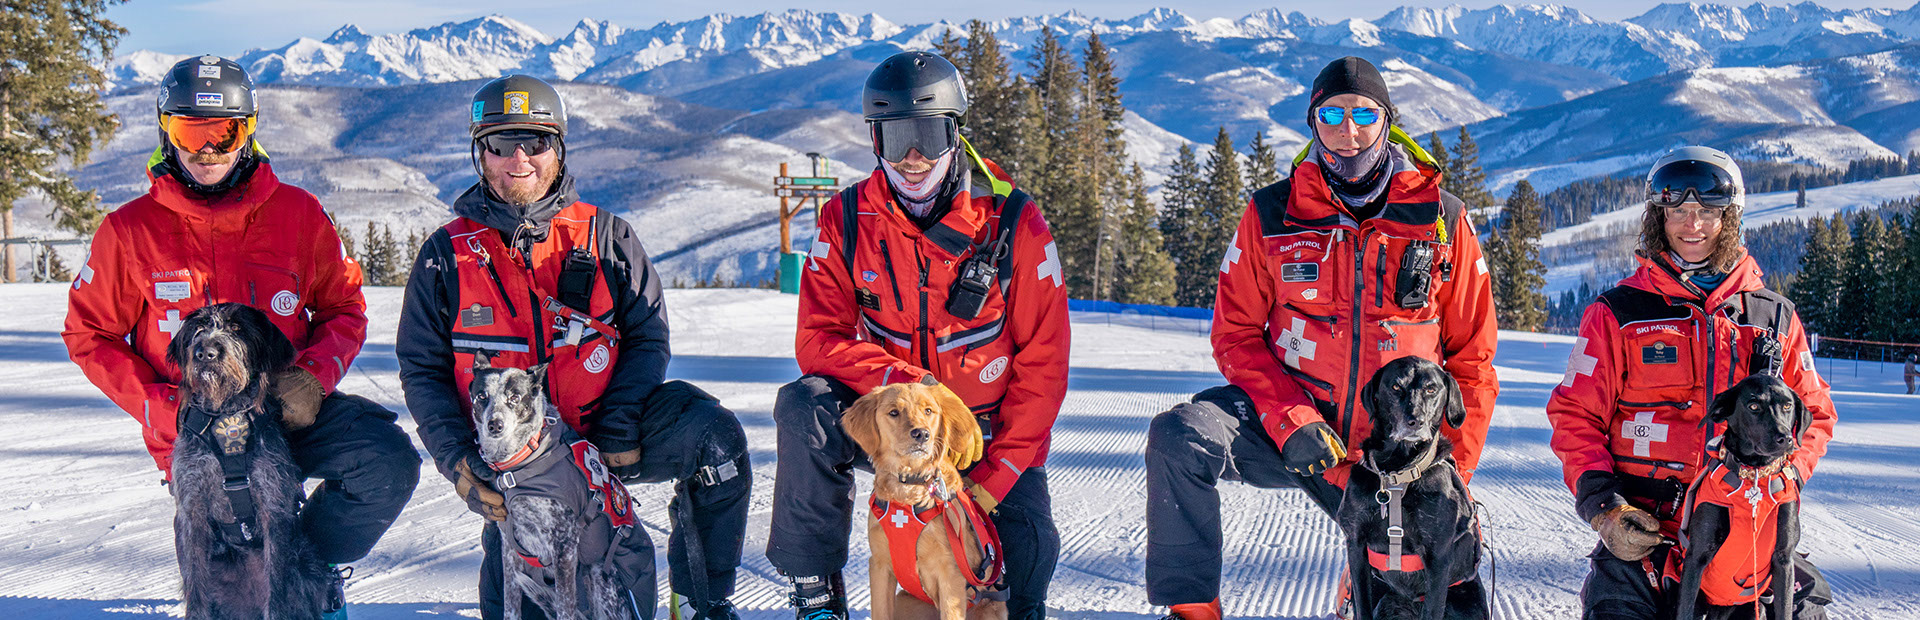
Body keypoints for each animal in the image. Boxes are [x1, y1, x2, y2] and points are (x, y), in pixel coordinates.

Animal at [168, 303, 330, 618]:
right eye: (198, 329)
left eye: (236, 328)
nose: (205, 352)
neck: (226, 413)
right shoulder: (191, 508)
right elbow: (195, 586)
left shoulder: (272, 506)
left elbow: (277, 590)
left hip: (307, 566)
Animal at [848, 378, 1013, 620]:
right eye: (894, 412)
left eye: (928, 411)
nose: (921, 434)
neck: (909, 488)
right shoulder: (879, 564)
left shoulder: (951, 576)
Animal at [1344, 357, 1489, 620]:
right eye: (1395, 387)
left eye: (1432, 389)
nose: (1416, 421)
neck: (1398, 473)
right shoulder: (1356, 545)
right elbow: (1362, 605)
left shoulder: (1438, 557)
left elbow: (1432, 609)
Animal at [1674, 374, 1804, 620]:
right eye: (1753, 406)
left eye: (1787, 406)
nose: (1785, 438)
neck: (1754, 477)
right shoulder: (1697, 556)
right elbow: (1684, 609)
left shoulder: (1784, 560)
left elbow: (1784, 610)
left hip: (1755, 608)